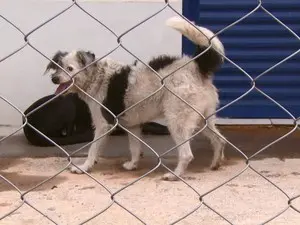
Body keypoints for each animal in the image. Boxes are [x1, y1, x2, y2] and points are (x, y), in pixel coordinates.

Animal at [45, 16, 226, 180]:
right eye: (57, 67)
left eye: (69, 68)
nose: (54, 79)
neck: (97, 76)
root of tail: (195, 66)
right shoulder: (133, 126)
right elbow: (134, 148)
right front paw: (133, 165)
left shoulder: (103, 125)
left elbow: (93, 149)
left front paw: (84, 167)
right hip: (203, 119)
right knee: (219, 140)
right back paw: (215, 164)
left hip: (177, 121)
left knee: (187, 154)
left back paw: (175, 175)